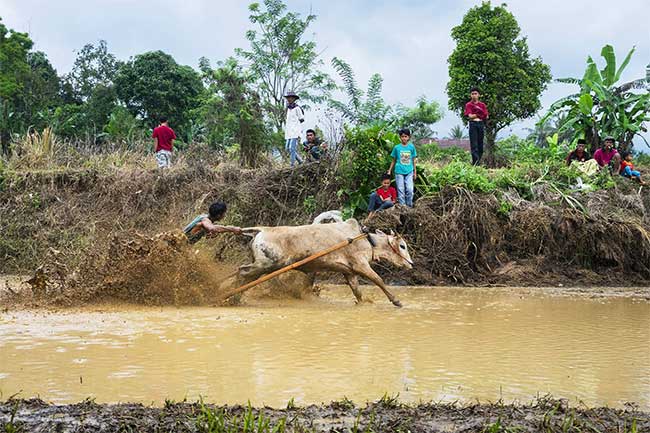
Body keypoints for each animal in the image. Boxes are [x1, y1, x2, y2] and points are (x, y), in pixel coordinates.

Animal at [218, 219, 412, 307]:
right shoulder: (361, 265)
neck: (368, 240)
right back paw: (229, 297)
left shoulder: (349, 272)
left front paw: (363, 303)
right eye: (402, 246)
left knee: (245, 277)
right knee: (242, 272)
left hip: (264, 266)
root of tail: (262, 230)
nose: (411, 264)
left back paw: (233, 297)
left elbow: (357, 292)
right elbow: (379, 280)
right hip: (267, 264)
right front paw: (396, 301)